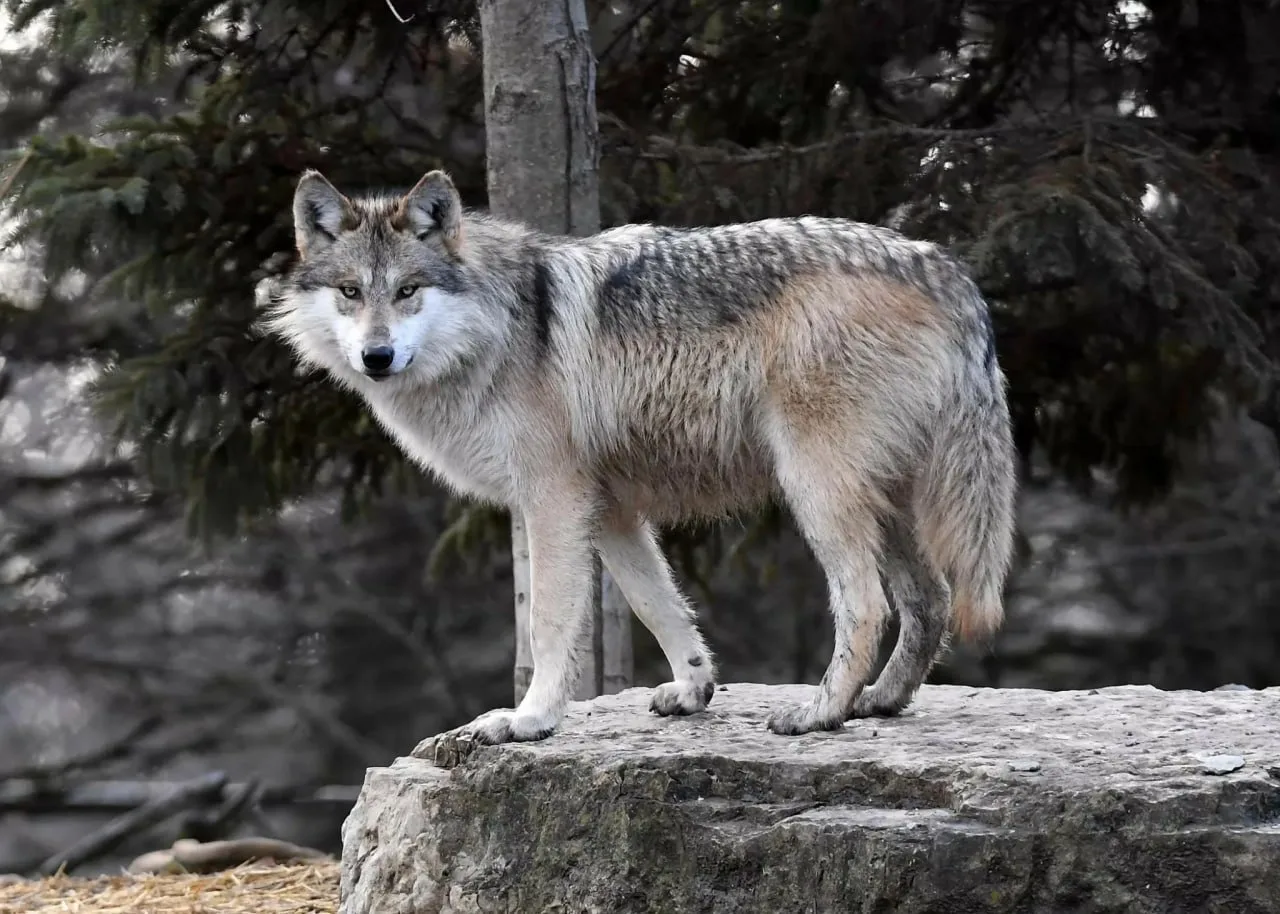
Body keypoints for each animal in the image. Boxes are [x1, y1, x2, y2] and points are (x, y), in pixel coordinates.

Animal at [260, 168, 1017, 747]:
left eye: (408, 290)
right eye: (350, 292)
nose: (376, 356)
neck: (498, 329)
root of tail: (943, 267)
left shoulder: (553, 503)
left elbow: (549, 624)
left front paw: (530, 720)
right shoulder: (612, 511)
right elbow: (661, 608)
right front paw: (693, 689)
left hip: (817, 490)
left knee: (867, 605)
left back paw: (820, 712)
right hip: (886, 501)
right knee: (930, 599)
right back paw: (880, 702)